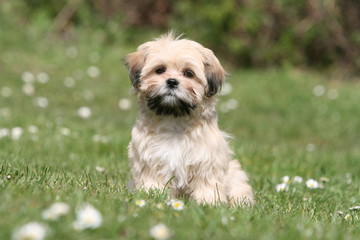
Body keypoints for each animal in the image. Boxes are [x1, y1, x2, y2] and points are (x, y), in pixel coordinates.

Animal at [125, 32, 255, 206]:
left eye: (188, 73)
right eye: (159, 70)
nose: (172, 81)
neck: (174, 120)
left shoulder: (207, 160)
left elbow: (207, 183)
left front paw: (209, 202)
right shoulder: (149, 159)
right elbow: (153, 181)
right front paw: (152, 197)